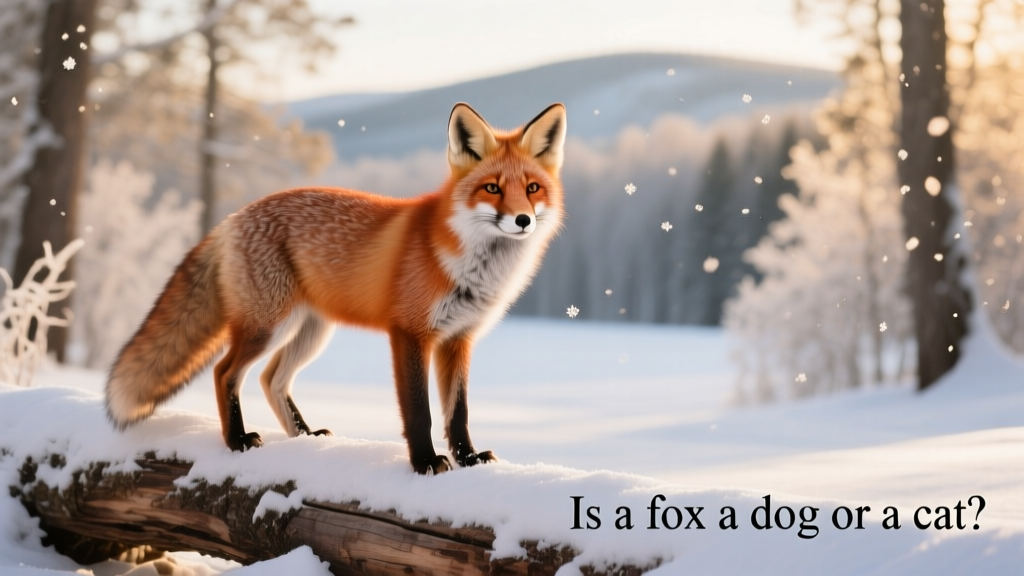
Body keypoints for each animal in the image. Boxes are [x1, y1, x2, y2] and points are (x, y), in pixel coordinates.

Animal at [105, 103, 566, 474]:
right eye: (492, 188)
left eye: (532, 189)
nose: (522, 220)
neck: (470, 266)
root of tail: (232, 217)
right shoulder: (410, 333)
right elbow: (420, 412)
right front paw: (424, 463)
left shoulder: (459, 340)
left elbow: (459, 413)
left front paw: (468, 459)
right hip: (267, 327)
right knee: (225, 373)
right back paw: (237, 441)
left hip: (311, 332)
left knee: (271, 379)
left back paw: (305, 435)